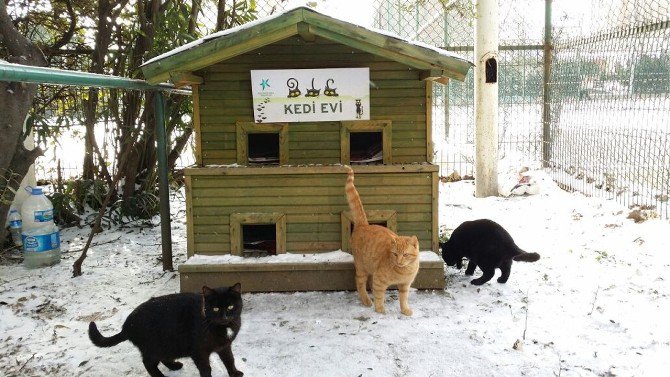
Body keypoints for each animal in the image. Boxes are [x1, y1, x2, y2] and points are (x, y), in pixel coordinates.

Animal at [89, 284, 245, 374]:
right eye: (215, 308)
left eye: (231, 306)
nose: (224, 317)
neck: (222, 327)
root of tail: (127, 325)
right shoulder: (199, 352)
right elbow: (206, 369)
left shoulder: (224, 346)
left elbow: (230, 360)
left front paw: (235, 373)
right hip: (154, 347)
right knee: (148, 364)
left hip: (168, 346)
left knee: (162, 359)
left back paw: (175, 366)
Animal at [346, 166, 420, 316]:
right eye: (395, 254)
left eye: (405, 254)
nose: (399, 261)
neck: (404, 270)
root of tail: (364, 224)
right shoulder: (380, 280)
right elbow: (379, 294)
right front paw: (379, 308)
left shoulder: (405, 285)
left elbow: (403, 298)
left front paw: (405, 310)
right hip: (362, 267)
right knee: (360, 283)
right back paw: (367, 301)